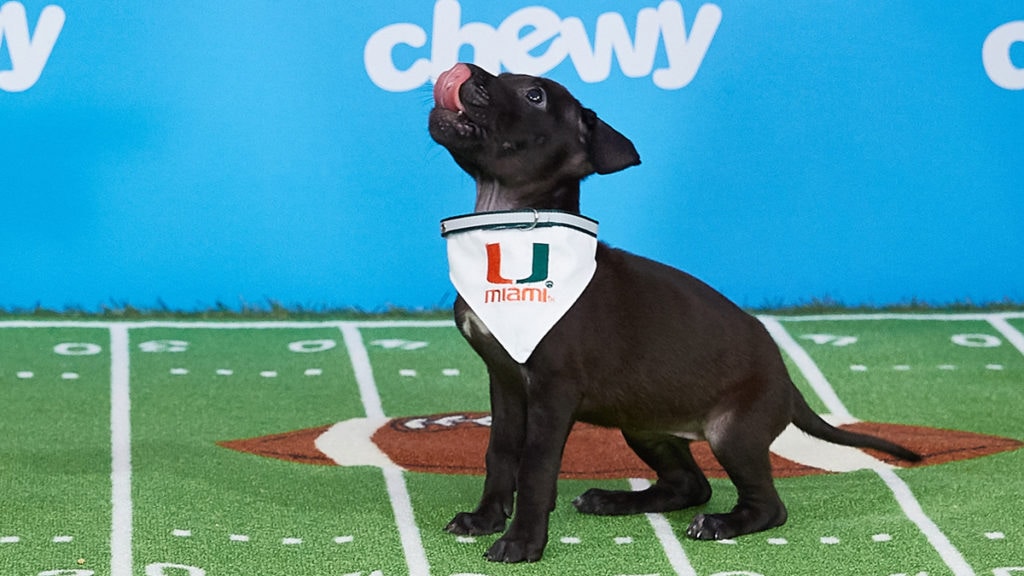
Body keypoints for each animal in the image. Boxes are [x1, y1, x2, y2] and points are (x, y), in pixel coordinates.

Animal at [423, 62, 921, 561]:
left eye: (534, 96)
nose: (466, 70)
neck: (512, 233)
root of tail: (786, 383)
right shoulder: (506, 382)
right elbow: (500, 454)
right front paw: (486, 519)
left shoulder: (552, 391)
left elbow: (535, 468)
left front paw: (522, 540)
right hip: (643, 425)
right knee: (691, 484)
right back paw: (613, 500)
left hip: (732, 433)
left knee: (767, 506)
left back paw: (720, 523)